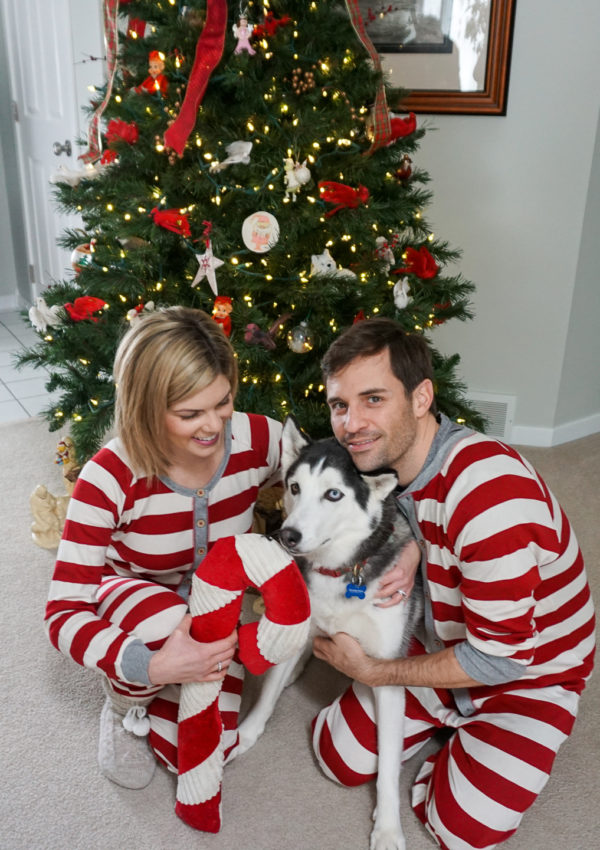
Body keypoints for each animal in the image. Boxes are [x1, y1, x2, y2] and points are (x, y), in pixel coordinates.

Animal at [233, 418, 422, 848]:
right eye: (294, 487)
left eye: (333, 494)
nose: (287, 536)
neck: (341, 572)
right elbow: (265, 698)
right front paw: (244, 735)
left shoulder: (386, 673)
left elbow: (388, 765)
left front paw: (388, 827)